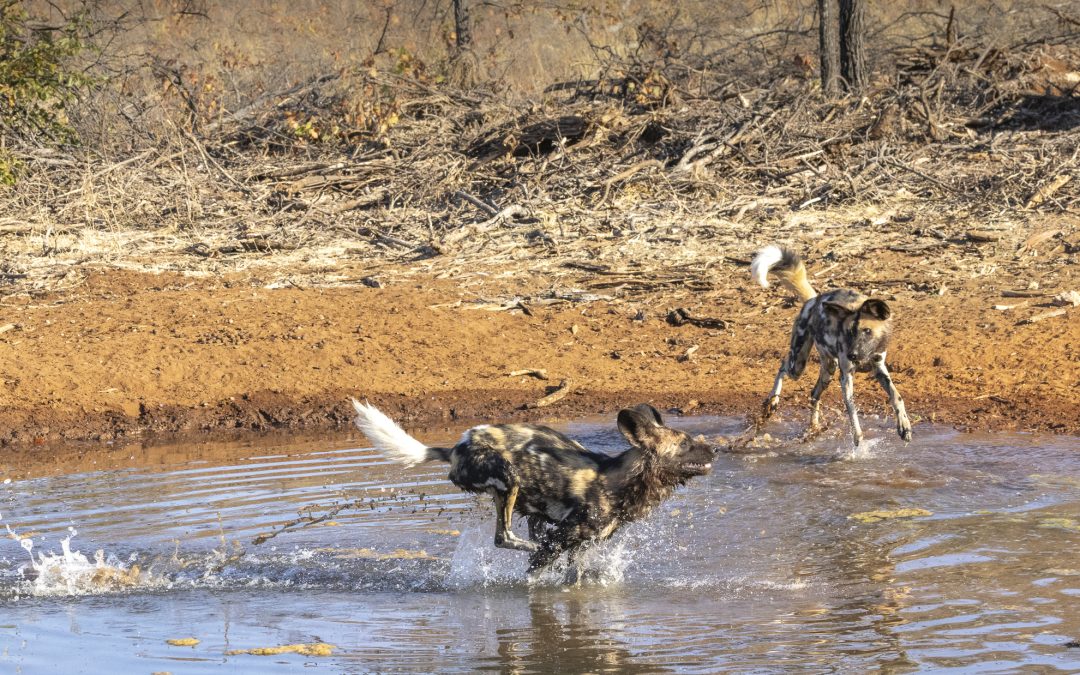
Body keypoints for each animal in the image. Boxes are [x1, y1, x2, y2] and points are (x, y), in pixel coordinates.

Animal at [349, 399, 712, 578]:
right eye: (686, 445)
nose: (715, 451)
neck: (619, 482)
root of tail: (457, 446)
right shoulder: (566, 538)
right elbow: (538, 573)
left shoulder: (581, 547)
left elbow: (574, 580)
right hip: (508, 478)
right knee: (505, 538)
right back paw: (531, 547)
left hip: (526, 505)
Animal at [751, 243, 911, 447]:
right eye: (849, 332)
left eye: (867, 331)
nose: (852, 355)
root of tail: (813, 300)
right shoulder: (846, 377)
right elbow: (852, 411)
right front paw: (858, 439)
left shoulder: (880, 369)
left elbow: (896, 396)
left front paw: (904, 426)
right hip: (799, 364)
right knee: (783, 365)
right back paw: (772, 402)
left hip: (829, 369)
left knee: (814, 393)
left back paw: (813, 428)